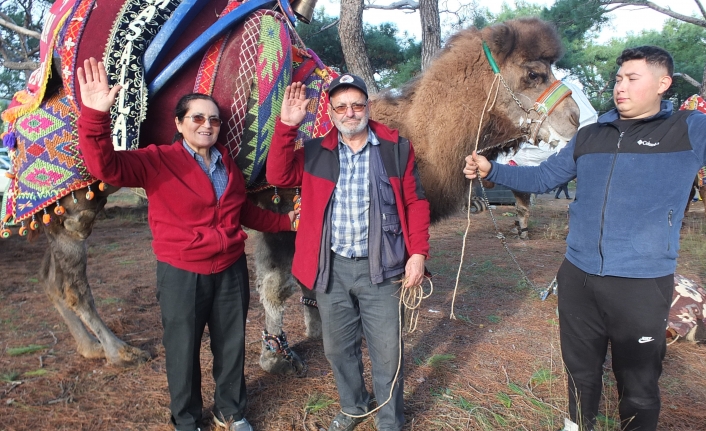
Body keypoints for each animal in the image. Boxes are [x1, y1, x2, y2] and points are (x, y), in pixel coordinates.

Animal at [0, 0, 576, 372]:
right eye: (533, 73)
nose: (573, 118)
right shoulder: (271, 204)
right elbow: (279, 281)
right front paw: (273, 352)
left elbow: (309, 276)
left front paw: (316, 332)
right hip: (77, 187)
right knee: (71, 275)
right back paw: (118, 351)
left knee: (50, 274)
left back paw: (90, 348)